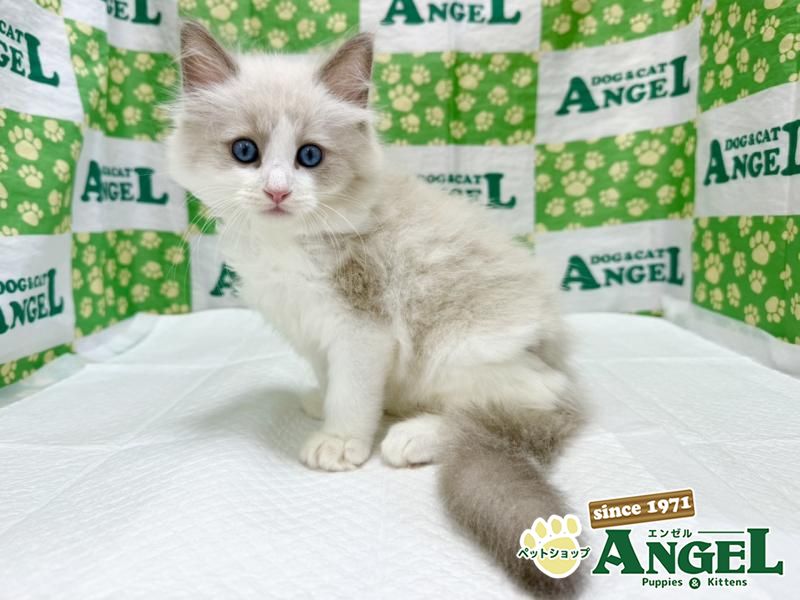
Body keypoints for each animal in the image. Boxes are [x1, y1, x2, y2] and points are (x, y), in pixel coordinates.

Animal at [167, 22, 583, 597]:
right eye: (245, 151)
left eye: (309, 157)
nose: (277, 191)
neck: (286, 245)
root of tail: (567, 373)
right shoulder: (311, 326)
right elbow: (332, 378)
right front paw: (322, 403)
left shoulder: (362, 326)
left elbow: (353, 392)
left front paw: (341, 440)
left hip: (465, 348)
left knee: (509, 408)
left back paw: (415, 435)